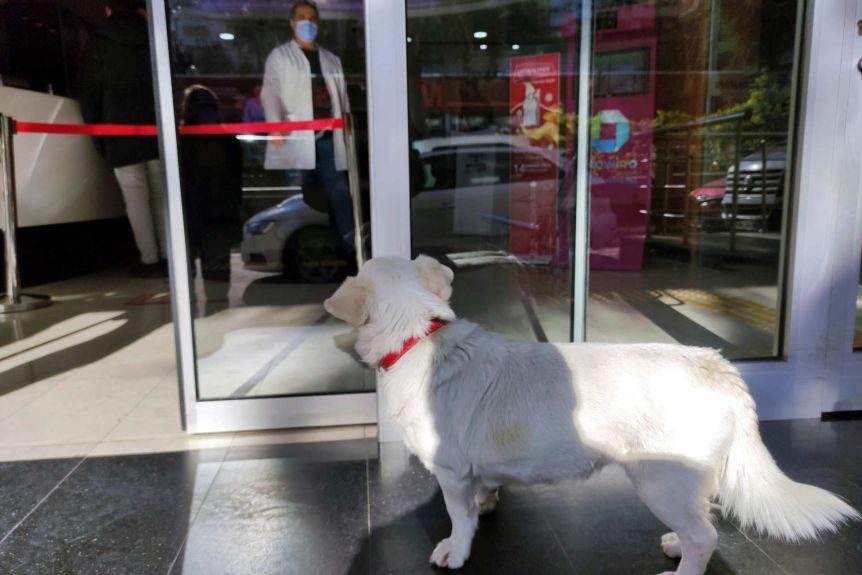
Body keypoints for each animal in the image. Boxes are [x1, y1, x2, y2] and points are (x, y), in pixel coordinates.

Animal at [326, 258, 862, 575]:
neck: (419, 335)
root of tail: (718, 365)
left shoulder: (451, 471)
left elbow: (458, 518)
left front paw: (455, 551)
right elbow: (484, 493)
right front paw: (487, 505)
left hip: (659, 480)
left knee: (706, 537)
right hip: (687, 483)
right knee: (701, 521)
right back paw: (675, 542)